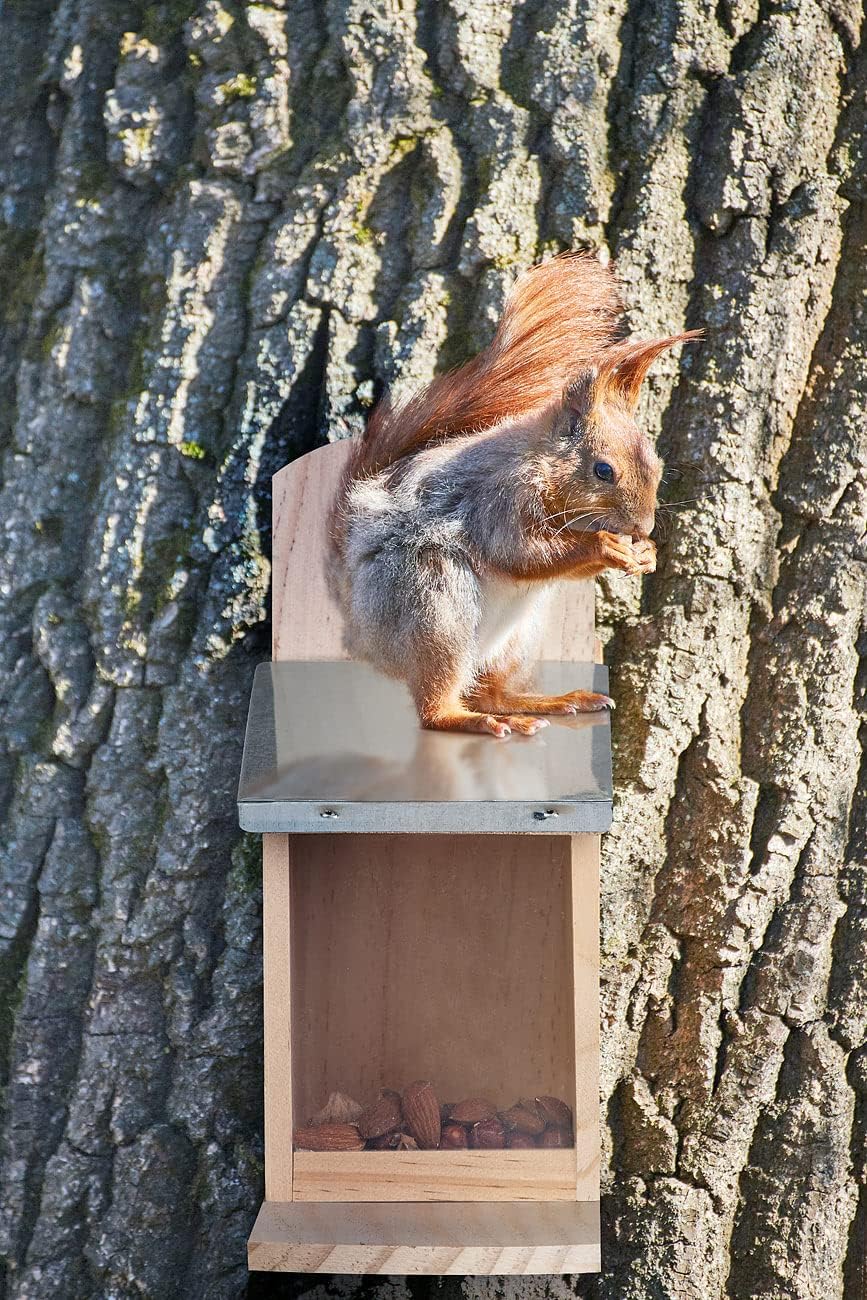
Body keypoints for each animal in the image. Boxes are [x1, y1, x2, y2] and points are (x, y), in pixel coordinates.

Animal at [328, 252, 699, 738]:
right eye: (603, 471)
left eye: (657, 466)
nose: (644, 527)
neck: (541, 464)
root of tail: (356, 625)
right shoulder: (500, 497)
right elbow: (517, 553)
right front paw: (605, 546)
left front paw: (647, 554)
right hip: (433, 602)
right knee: (434, 709)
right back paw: (473, 719)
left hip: (516, 639)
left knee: (492, 690)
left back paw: (548, 702)